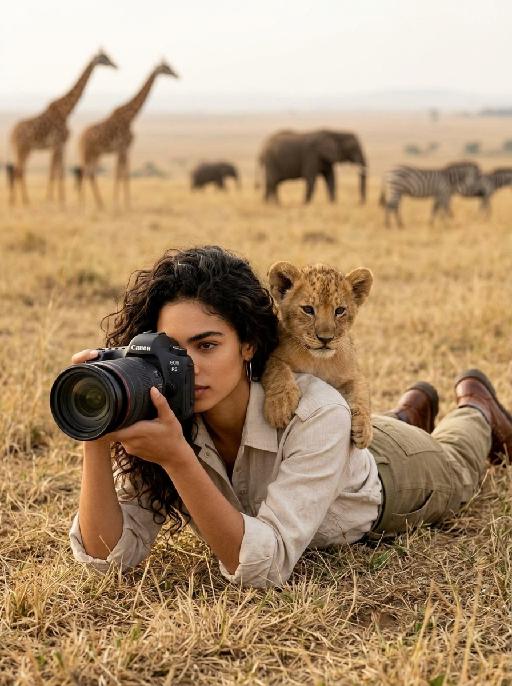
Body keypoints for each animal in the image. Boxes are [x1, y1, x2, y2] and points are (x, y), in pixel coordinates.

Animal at [261, 261, 374, 448]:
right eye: (308, 309)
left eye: (340, 310)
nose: (325, 339)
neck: (318, 362)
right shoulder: (270, 354)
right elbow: (277, 368)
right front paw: (280, 407)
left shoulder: (352, 373)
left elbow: (361, 392)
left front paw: (364, 430)